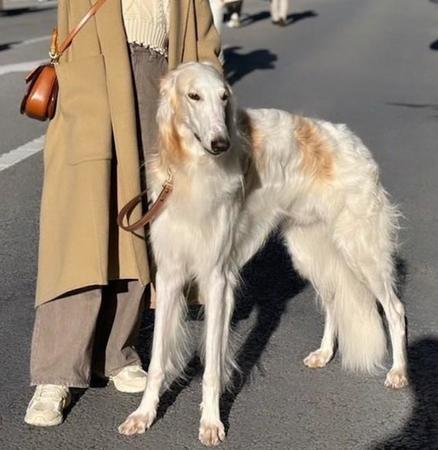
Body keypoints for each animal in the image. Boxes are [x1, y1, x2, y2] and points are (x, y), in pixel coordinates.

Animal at [117, 63, 408, 446]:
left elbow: (212, 368)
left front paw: (211, 423)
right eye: (194, 95)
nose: (220, 143)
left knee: (395, 309)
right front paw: (143, 416)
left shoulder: (216, 278)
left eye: (224, 97)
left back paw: (399, 371)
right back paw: (324, 353)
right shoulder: (169, 275)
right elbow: (156, 363)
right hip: (309, 250)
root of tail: (354, 143)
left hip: (360, 250)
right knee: (333, 300)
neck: (193, 172)